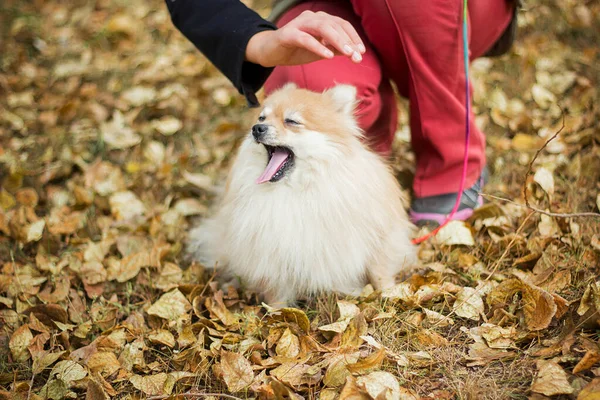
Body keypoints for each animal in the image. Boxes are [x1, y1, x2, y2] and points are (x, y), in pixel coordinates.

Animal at [189, 83, 418, 304]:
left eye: (291, 121)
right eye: (262, 117)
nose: (257, 128)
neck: (297, 188)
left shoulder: (376, 233)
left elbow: (379, 269)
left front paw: (390, 293)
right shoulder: (269, 253)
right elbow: (275, 290)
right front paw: (275, 312)